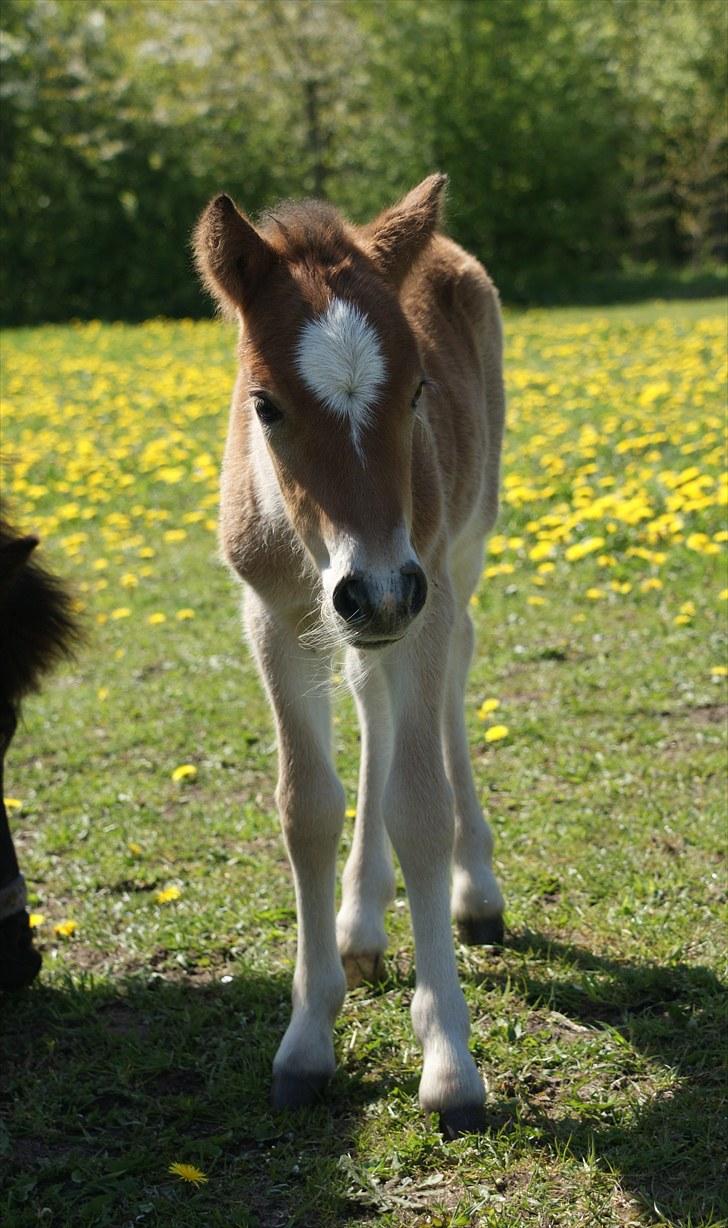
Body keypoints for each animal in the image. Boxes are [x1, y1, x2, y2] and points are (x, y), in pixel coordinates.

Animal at [193, 173, 505, 1129]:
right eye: (265, 405)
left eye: (416, 391)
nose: (379, 587)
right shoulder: (276, 614)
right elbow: (308, 807)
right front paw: (306, 1040)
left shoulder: (420, 587)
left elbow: (419, 806)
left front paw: (449, 1063)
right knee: (373, 699)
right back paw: (361, 926)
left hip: (455, 560)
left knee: (448, 681)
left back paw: (478, 892)